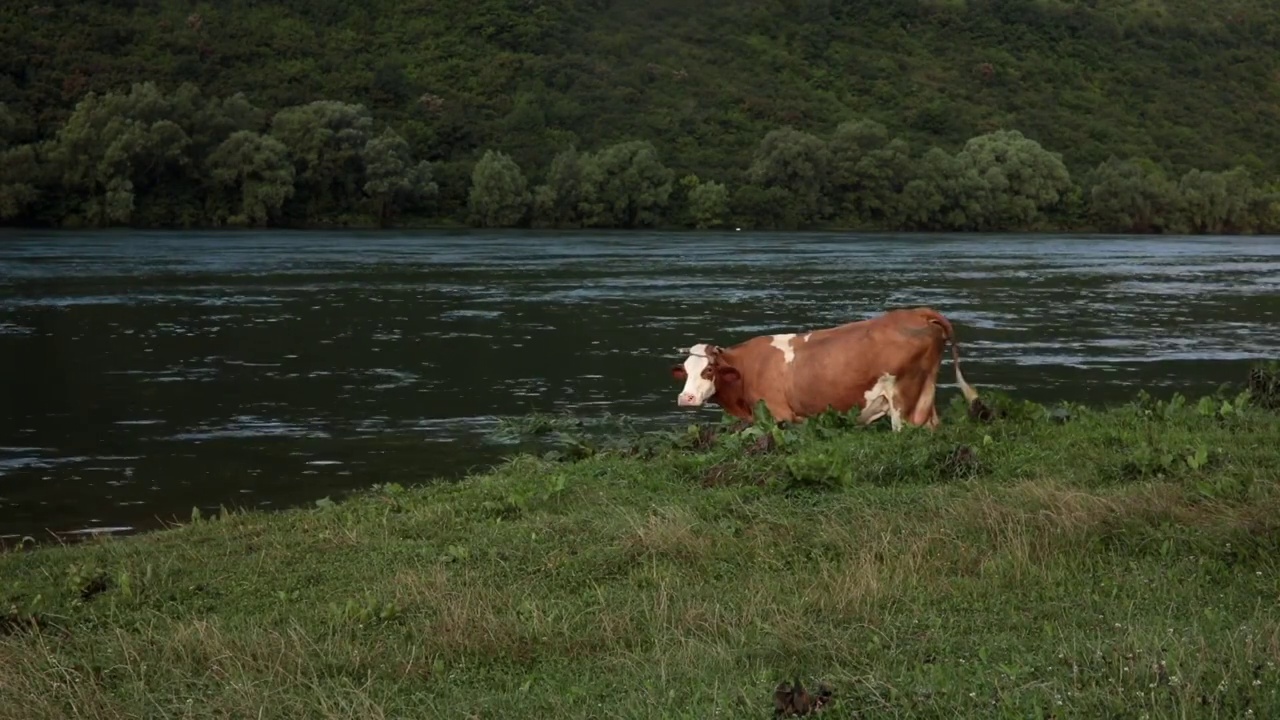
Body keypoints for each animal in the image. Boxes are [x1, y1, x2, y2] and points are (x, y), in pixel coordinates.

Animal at [670, 304, 977, 427]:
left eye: (708, 370)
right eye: (685, 371)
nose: (686, 398)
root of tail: (916, 313)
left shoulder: (779, 415)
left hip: (905, 401)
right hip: (924, 397)